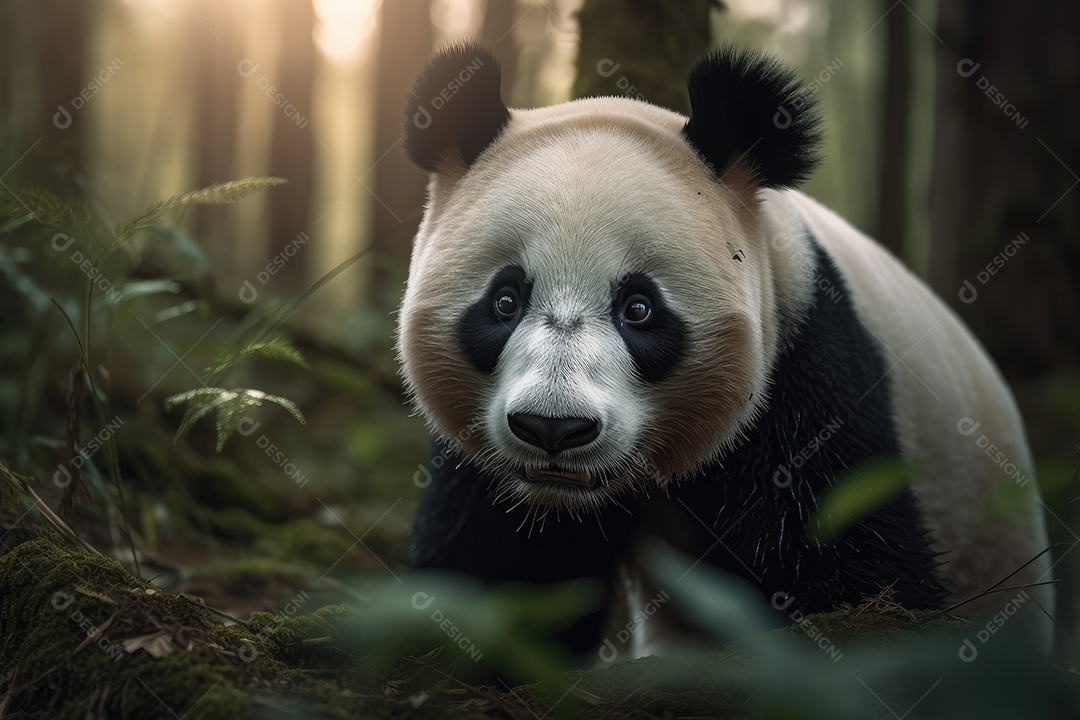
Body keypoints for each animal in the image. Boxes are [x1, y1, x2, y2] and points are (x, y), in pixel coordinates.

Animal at [396, 41, 1053, 657]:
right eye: (505, 301)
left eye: (639, 308)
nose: (552, 428)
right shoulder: (485, 464)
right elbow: (497, 575)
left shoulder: (808, 365)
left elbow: (850, 564)